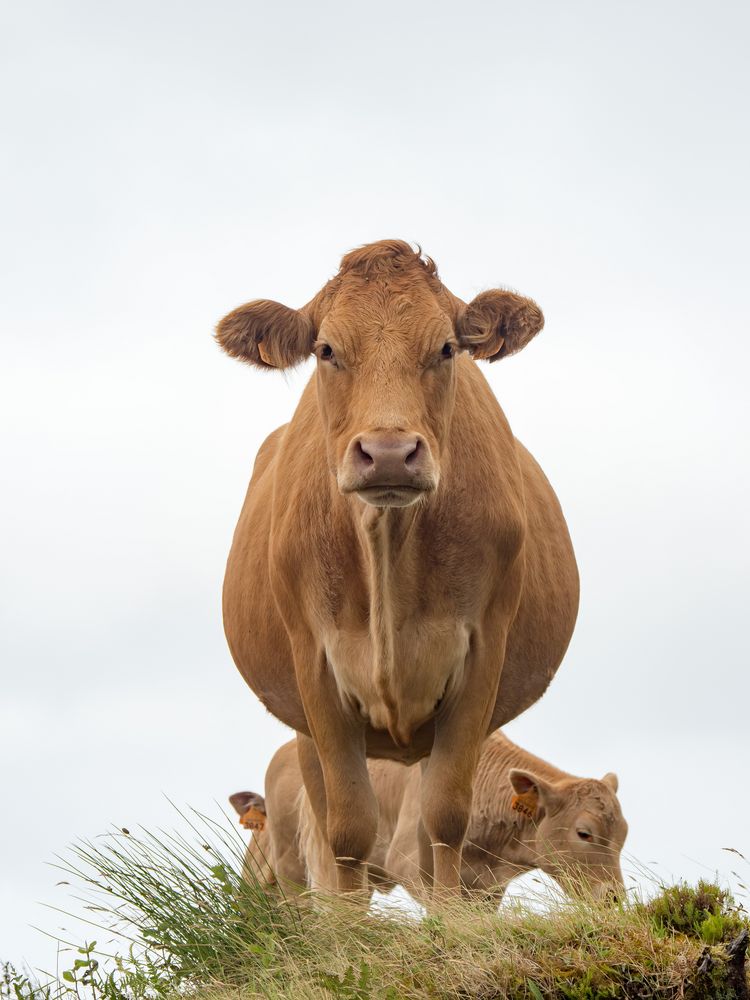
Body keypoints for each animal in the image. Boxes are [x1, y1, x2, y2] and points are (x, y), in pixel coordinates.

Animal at [217, 240, 580, 892]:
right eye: (327, 350)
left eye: (446, 348)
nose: (388, 453)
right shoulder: (316, 667)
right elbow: (347, 831)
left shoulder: (480, 658)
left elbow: (446, 818)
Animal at [229, 732, 628, 904]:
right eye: (584, 833)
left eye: (623, 836)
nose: (613, 896)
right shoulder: (408, 863)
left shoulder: (486, 889)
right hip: (291, 862)